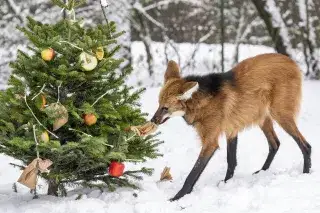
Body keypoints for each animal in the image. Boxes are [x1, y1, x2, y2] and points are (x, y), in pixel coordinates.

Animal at [151, 53, 312, 201]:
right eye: (158, 104)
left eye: (165, 108)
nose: (153, 120)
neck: (199, 102)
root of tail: (291, 61)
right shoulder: (231, 129)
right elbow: (231, 161)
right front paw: (226, 184)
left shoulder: (211, 142)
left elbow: (193, 174)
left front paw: (177, 197)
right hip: (262, 118)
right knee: (275, 144)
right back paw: (262, 172)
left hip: (280, 115)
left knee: (306, 145)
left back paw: (305, 173)